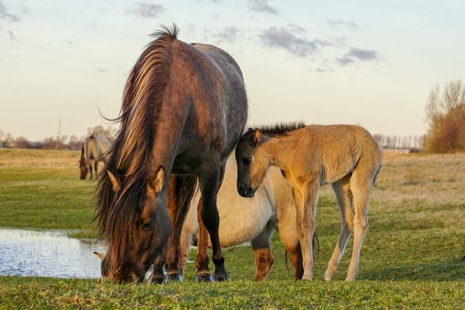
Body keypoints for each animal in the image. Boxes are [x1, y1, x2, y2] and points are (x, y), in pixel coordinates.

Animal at [93, 25, 248, 284]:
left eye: (146, 224)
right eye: (112, 223)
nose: (121, 276)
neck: (186, 96)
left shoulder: (210, 167)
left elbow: (209, 215)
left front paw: (218, 269)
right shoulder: (170, 168)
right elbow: (171, 214)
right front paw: (158, 273)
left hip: (218, 167)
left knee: (201, 212)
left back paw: (203, 269)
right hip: (179, 172)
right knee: (178, 213)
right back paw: (173, 269)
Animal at [236, 123, 380, 280]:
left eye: (247, 159)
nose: (242, 190)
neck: (292, 150)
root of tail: (374, 143)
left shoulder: (311, 183)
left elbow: (308, 223)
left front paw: (307, 274)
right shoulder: (297, 189)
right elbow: (299, 225)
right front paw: (305, 272)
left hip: (361, 180)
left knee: (361, 221)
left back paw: (351, 275)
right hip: (340, 183)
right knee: (348, 219)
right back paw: (328, 274)